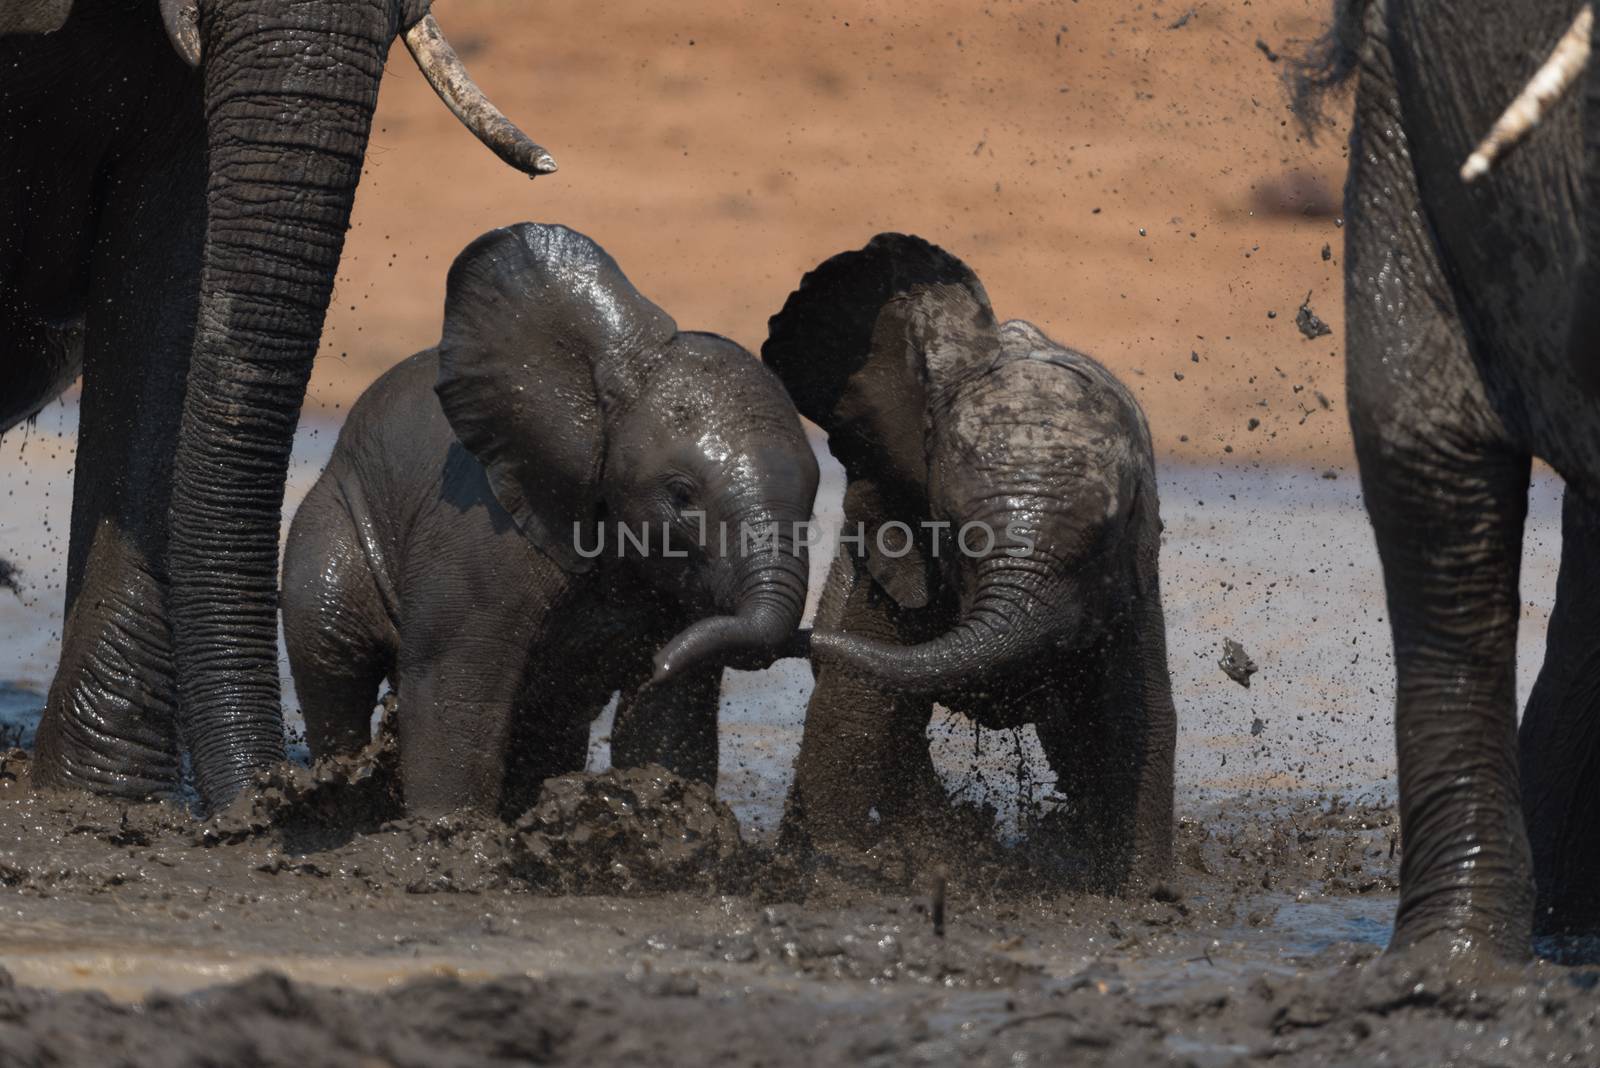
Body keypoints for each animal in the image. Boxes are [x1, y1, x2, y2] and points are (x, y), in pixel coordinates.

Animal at [280, 225, 819, 818]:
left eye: (816, 499)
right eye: (681, 495)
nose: (656, 664)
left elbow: (669, 719)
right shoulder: (485, 535)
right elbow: (456, 686)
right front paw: (450, 833)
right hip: (333, 519)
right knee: (334, 656)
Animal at [768, 235, 1184, 895]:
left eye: (1103, 540)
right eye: (952, 528)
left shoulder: (1134, 578)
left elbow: (1133, 718)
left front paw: (1144, 895)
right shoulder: (896, 548)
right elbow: (857, 702)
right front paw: (845, 876)